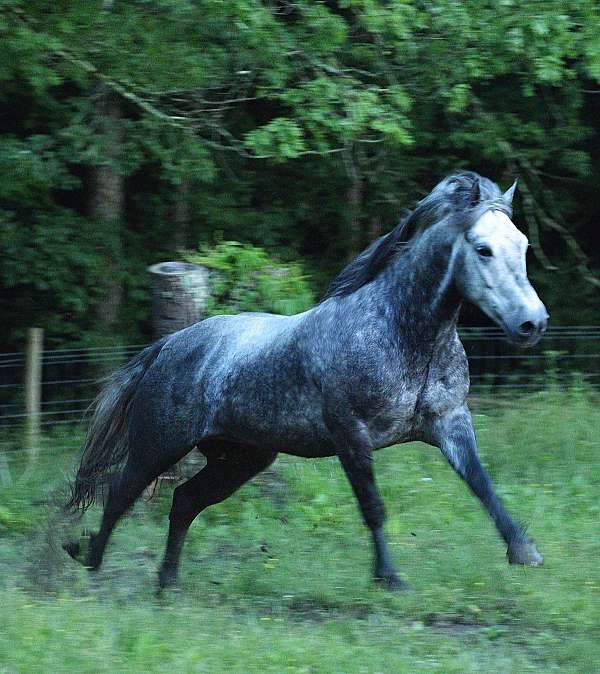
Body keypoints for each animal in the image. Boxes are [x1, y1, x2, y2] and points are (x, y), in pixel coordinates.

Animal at [64, 172, 548, 588]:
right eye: (483, 249)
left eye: (523, 244)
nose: (532, 323)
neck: (402, 333)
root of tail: (166, 347)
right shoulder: (351, 434)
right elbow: (373, 507)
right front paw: (389, 579)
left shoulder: (450, 422)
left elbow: (483, 486)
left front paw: (524, 552)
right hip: (159, 445)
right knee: (119, 493)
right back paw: (89, 562)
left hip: (241, 459)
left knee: (183, 502)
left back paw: (167, 583)